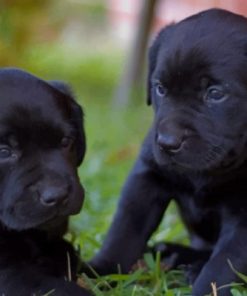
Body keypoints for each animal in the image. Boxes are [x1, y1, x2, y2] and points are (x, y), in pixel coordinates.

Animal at [90, 9, 247, 296]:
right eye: (160, 88)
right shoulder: (147, 177)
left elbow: (225, 262)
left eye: (215, 93)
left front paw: (205, 288)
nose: (167, 142)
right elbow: (124, 232)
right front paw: (96, 272)